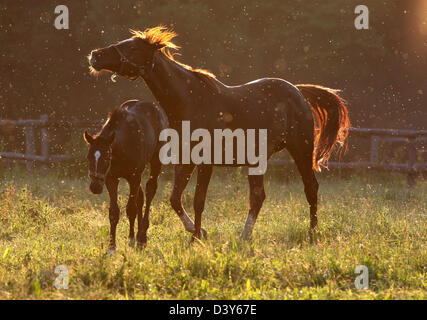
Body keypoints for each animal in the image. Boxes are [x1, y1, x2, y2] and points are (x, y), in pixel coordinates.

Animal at [83, 100, 169, 252]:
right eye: (89, 157)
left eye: (106, 157)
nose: (95, 187)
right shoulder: (111, 178)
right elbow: (114, 212)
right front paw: (112, 246)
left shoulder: (134, 177)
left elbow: (131, 209)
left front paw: (133, 240)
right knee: (141, 198)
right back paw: (137, 234)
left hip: (155, 162)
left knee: (150, 191)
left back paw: (142, 237)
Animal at [89, 27, 352, 242]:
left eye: (132, 47)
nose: (95, 55)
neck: (192, 100)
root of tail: (297, 91)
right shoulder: (185, 161)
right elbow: (175, 199)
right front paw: (199, 232)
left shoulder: (206, 163)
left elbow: (198, 200)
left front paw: (196, 238)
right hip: (258, 161)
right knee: (258, 197)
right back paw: (245, 236)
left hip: (301, 150)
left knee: (310, 188)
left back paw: (311, 233)